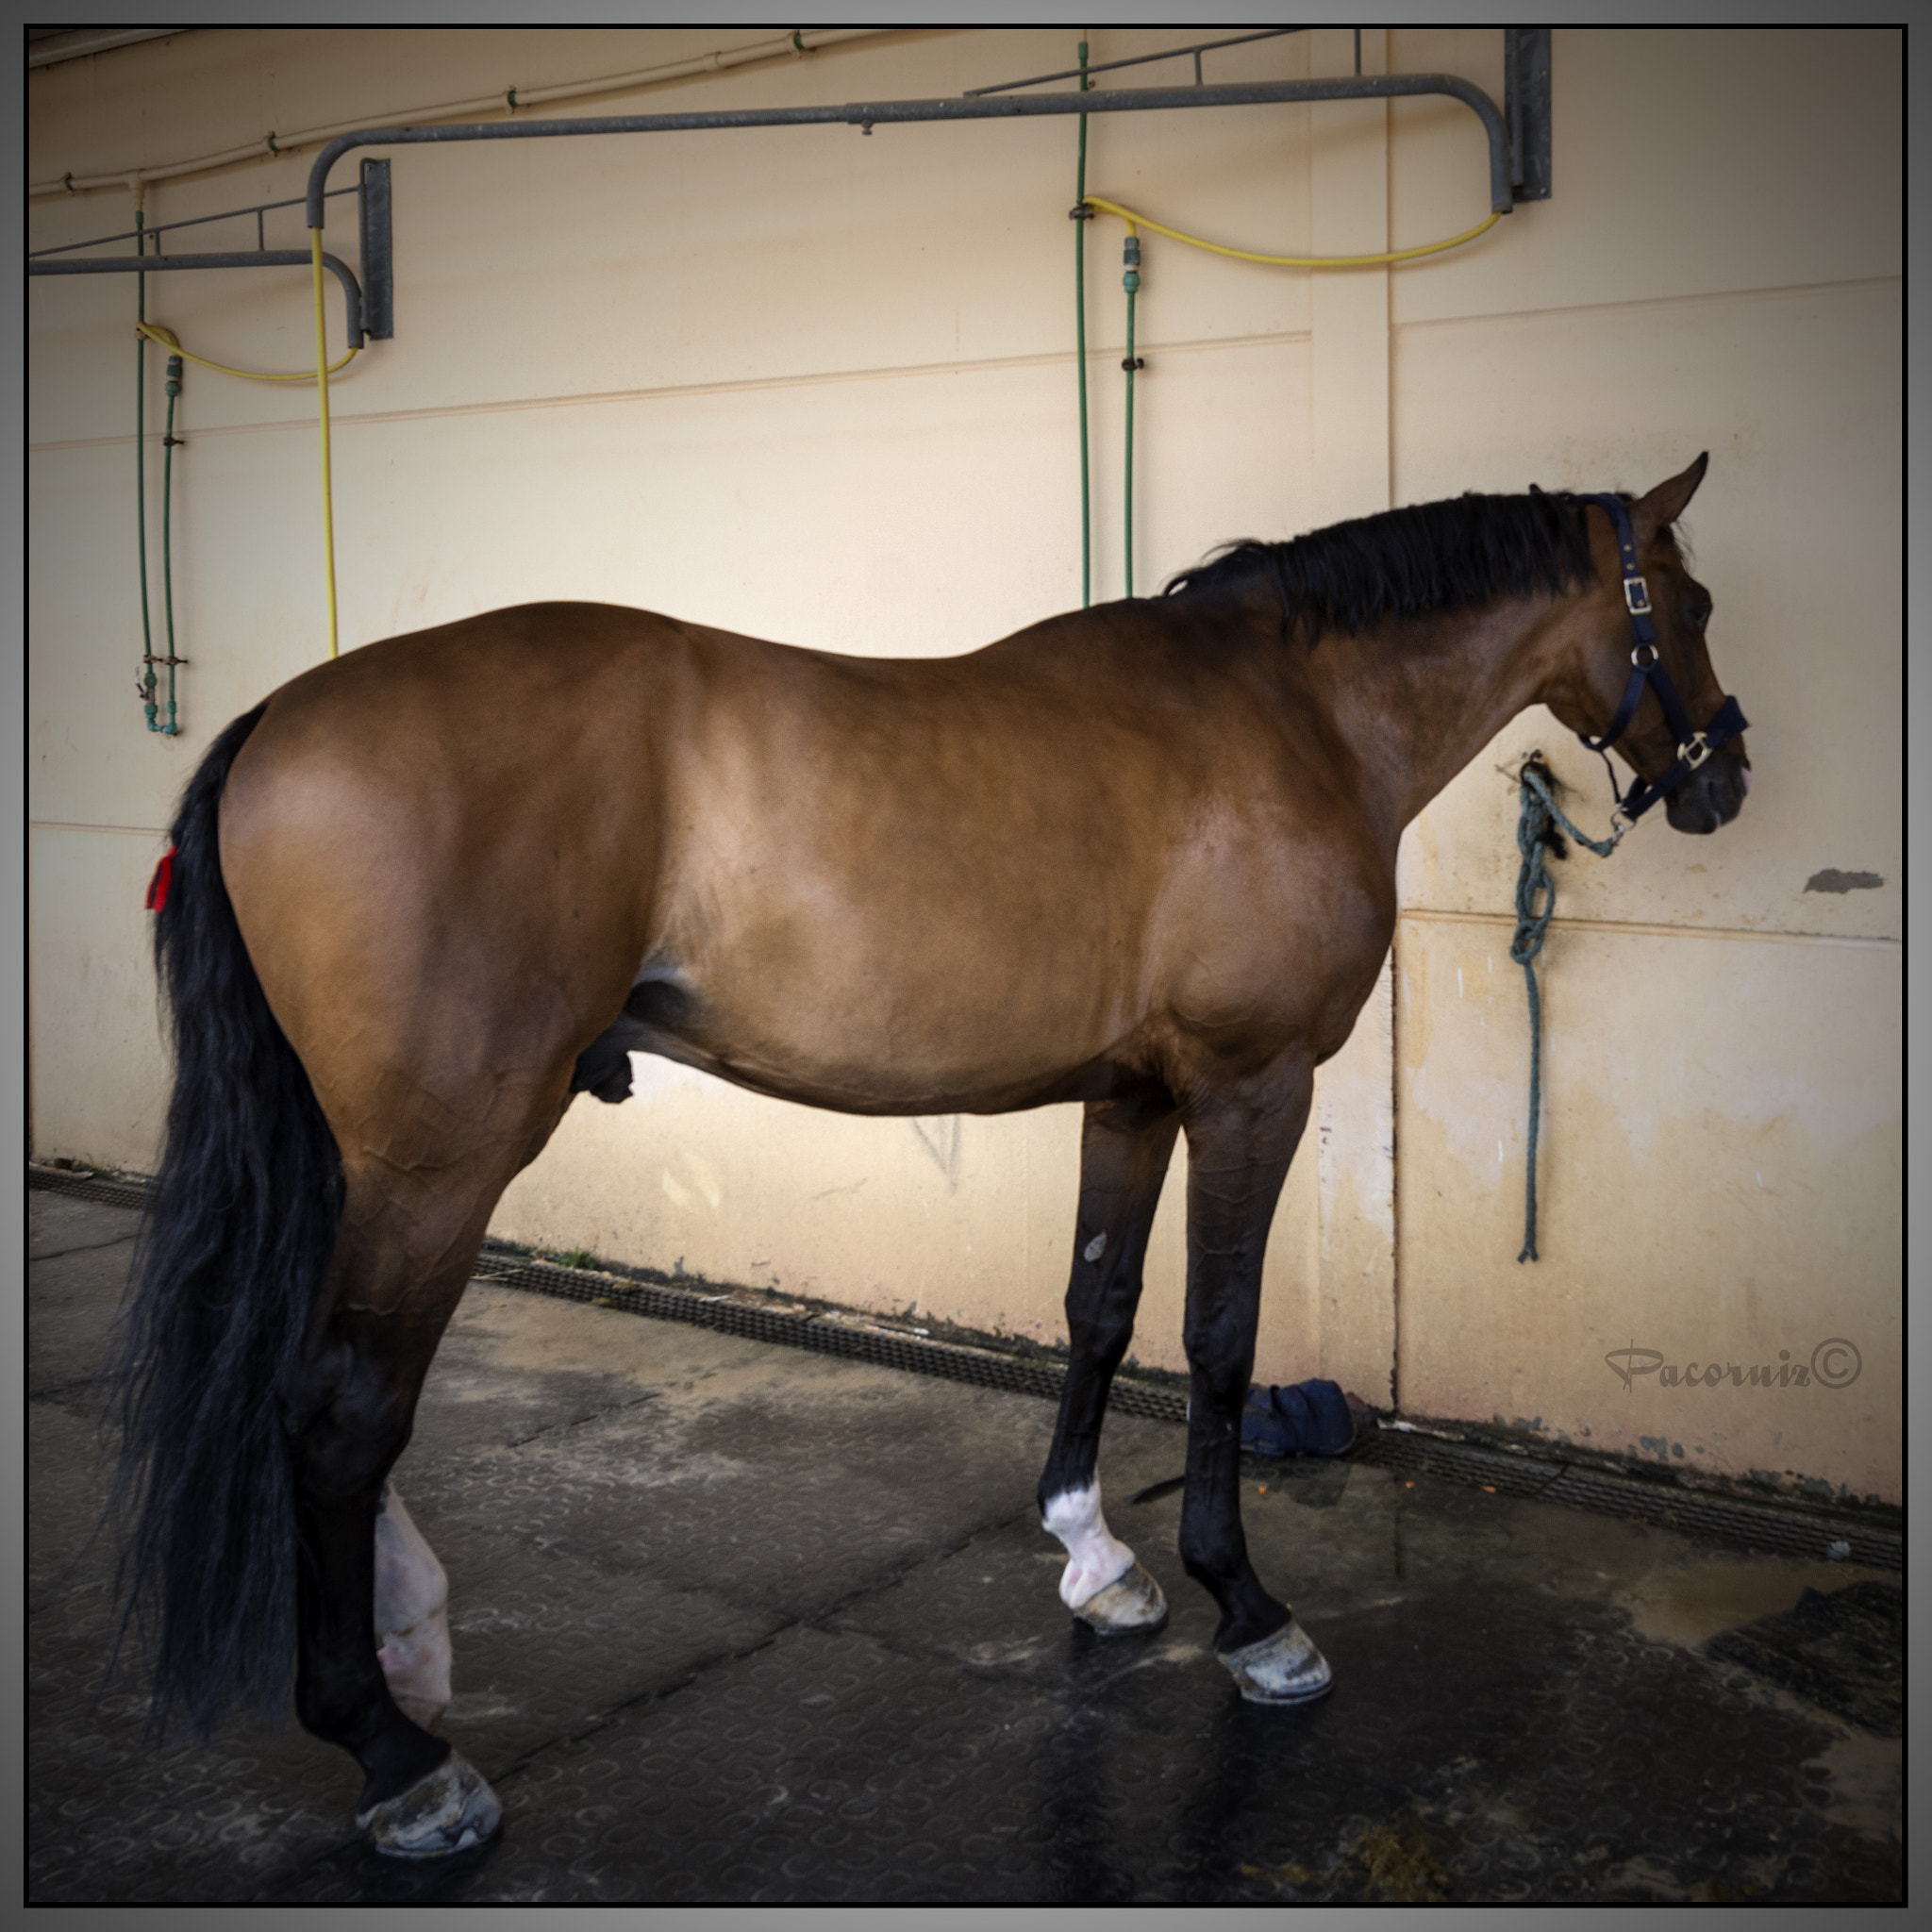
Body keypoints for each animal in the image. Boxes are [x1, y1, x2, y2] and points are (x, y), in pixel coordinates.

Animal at [110, 456, 1749, 1858]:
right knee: (341, 1414)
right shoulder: (1248, 1088)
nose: (1723, 779)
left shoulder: (1133, 1098)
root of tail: (276, 720)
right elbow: (1220, 1335)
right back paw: (397, 1754)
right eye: (1699, 603)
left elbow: (1100, 1308)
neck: (1294, 710)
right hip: (438, 1164)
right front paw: (1249, 1611)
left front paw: (1097, 1561)